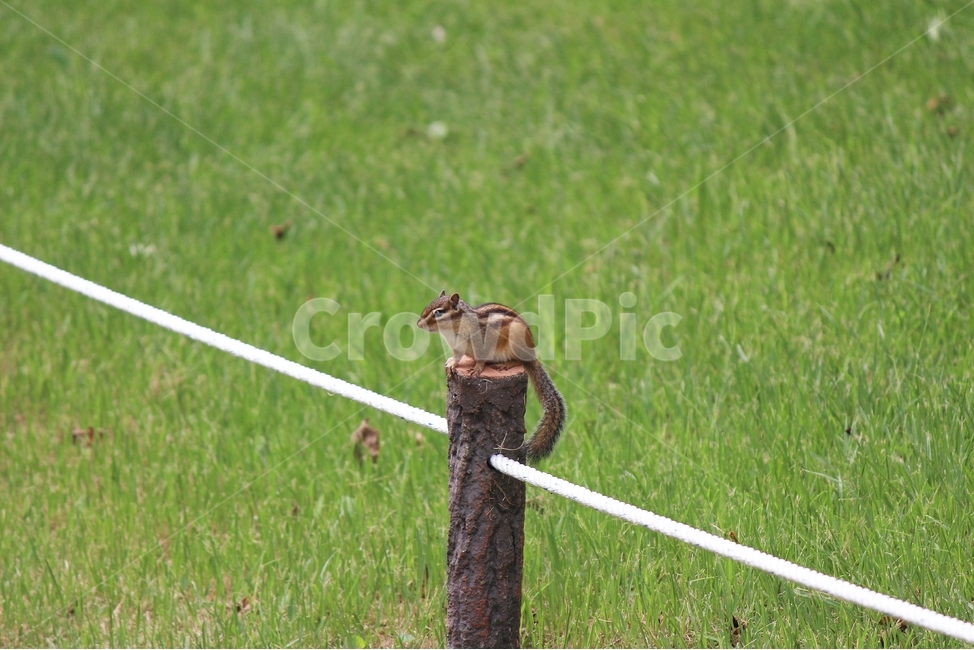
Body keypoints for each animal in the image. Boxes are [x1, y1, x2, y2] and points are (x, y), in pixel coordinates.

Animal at [417, 291, 566, 462]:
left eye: (439, 312)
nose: (418, 324)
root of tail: (532, 355)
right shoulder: (457, 348)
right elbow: (457, 358)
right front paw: (452, 365)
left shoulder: (482, 345)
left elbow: (481, 360)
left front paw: (477, 369)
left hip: (516, 343)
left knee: (519, 361)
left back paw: (505, 364)